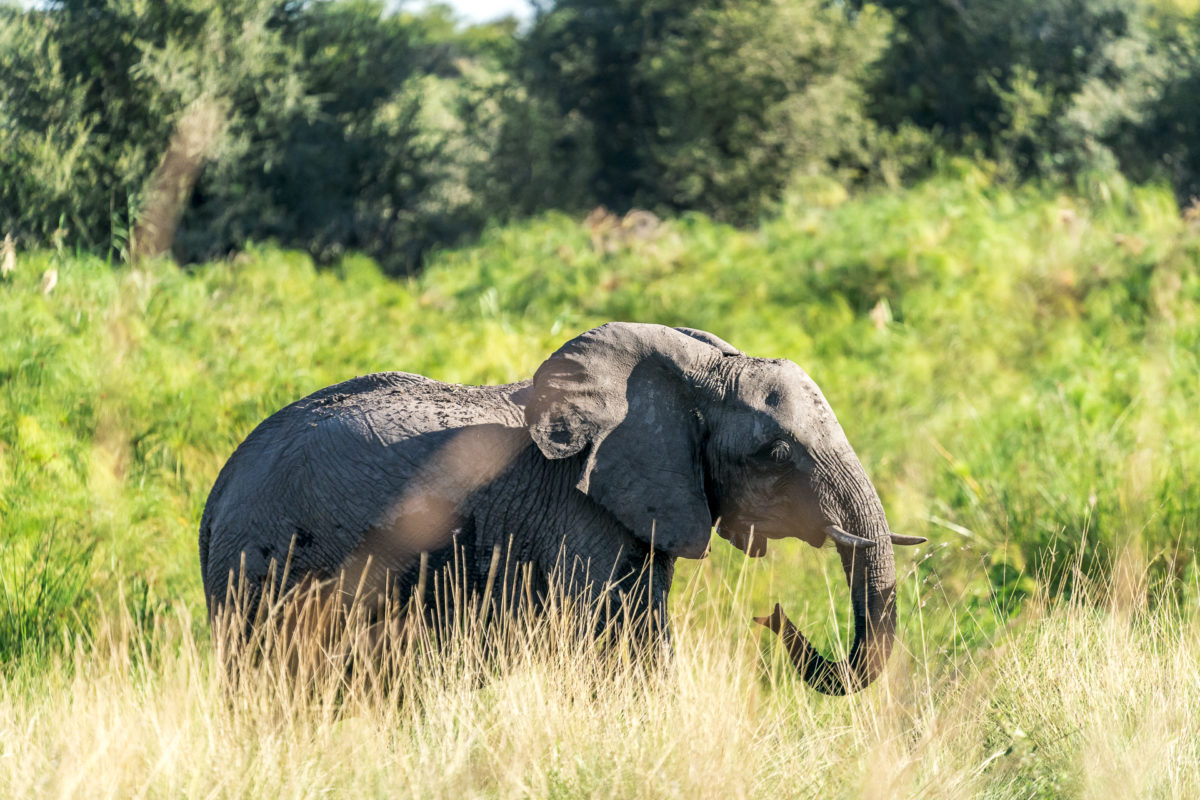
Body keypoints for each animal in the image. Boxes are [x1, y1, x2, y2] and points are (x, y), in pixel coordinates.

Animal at [201, 323, 921, 695]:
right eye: (775, 452)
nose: (772, 617)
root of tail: (215, 497)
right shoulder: (580, 514)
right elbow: (617, 636)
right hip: (267, 566)